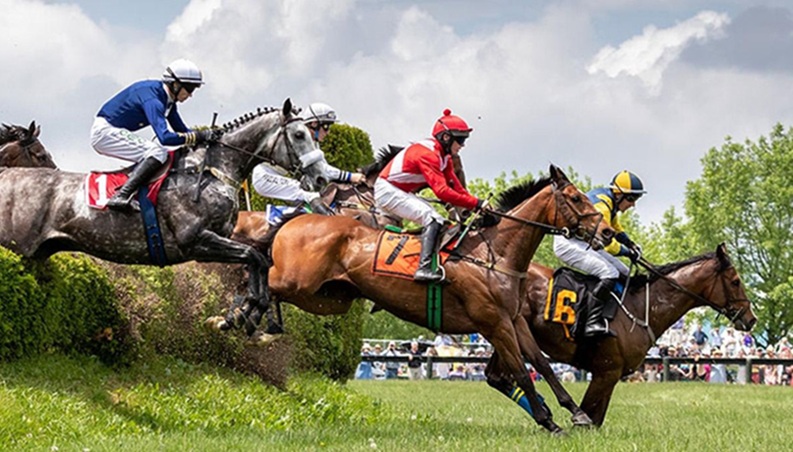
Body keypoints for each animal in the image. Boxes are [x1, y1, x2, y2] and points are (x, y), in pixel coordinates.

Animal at [0, 99, 323, 312]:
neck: (210, 171)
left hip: (37, 253)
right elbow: (253, 255)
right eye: (298, 135)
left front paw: (253, 308)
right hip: (16, 246)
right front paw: (250, 308)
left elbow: (258, 255)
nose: (320, 177)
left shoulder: (219, 240)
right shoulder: (194, 240)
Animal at [256, 165, 615, 433]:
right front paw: (548, 421)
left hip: (326, 296)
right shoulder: (494, 325)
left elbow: (542, 364)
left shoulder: (514, 320)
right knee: (261, 275)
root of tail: (298, 217)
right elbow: (520, 370)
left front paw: (577, 413)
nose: (607, 233)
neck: (494, 254)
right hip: (297, 281)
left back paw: (263, 326)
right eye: (575, 197)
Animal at [484, 243, 757, 426]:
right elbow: (589, 419)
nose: (751, 319)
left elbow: (596, 419)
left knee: (497, 377)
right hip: (506, 330)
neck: (641, 307)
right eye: (735, 281)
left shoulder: (611, 375)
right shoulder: (607, 371)